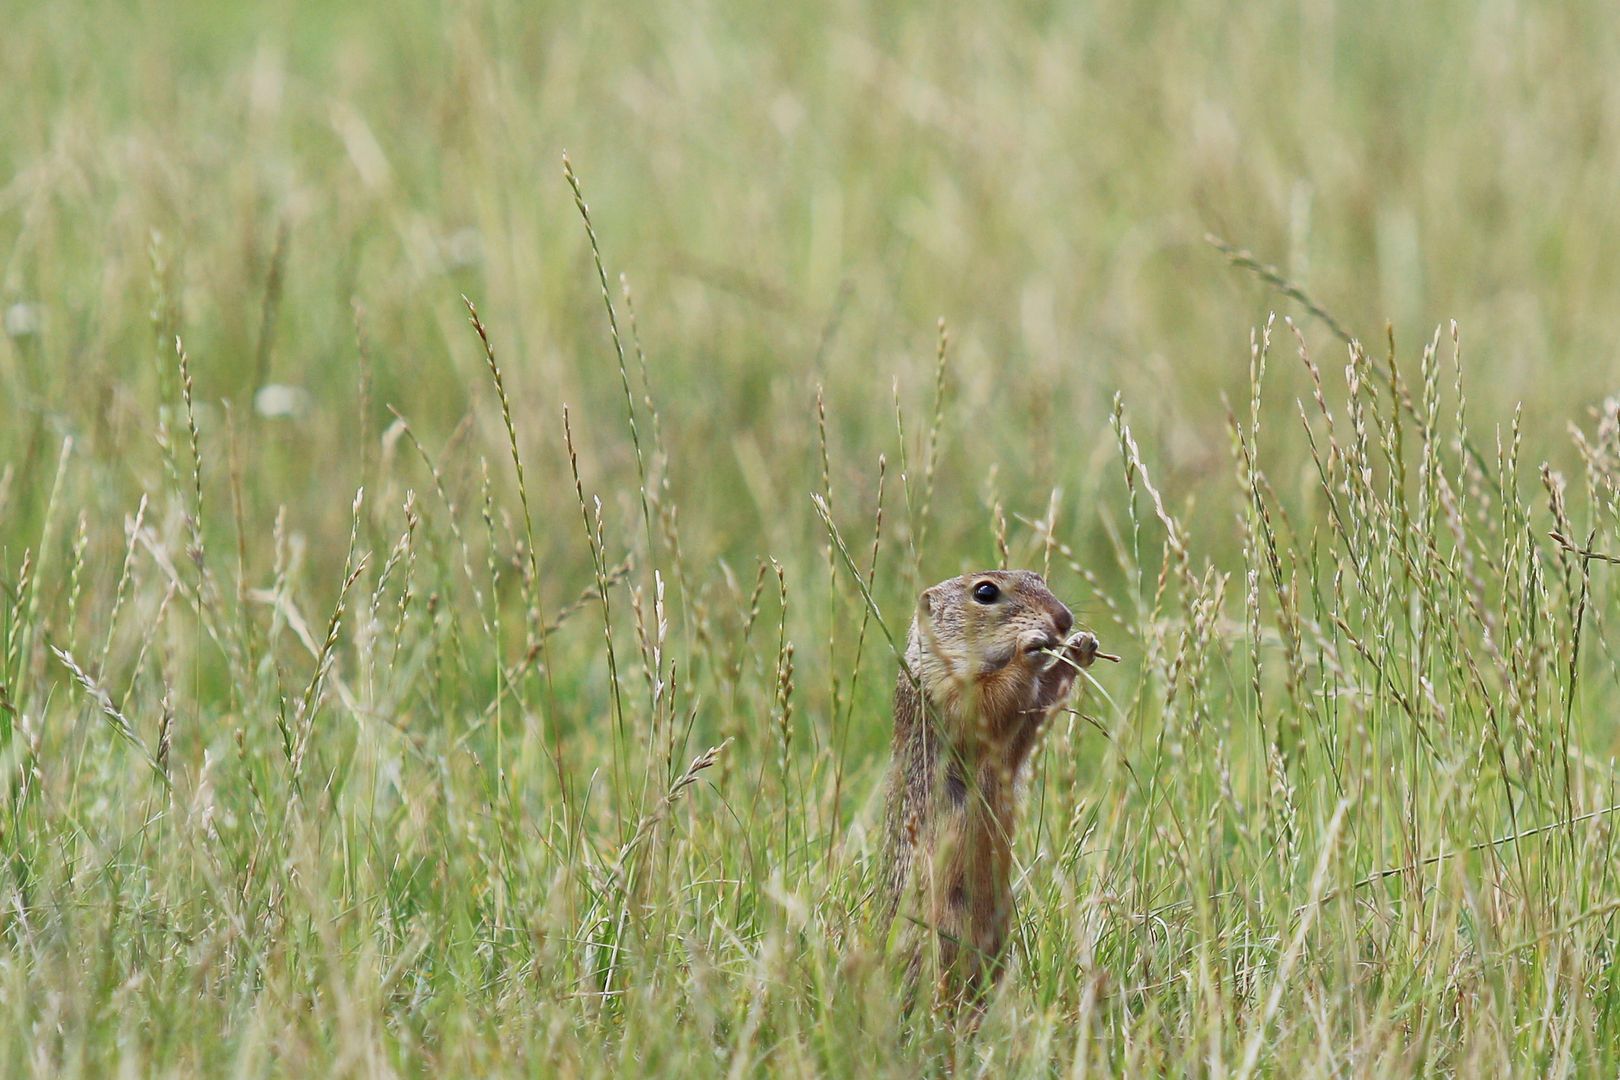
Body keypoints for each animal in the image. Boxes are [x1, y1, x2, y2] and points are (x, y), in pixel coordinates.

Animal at [881, 569, 1108, 1010]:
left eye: (1039, 577)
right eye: (985, 592)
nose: (1064, 619)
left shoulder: (1014, 738)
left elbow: (1034, 712)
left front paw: (1080, 648)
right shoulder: (949, 692)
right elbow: (990, 700)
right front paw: (1030, 648)